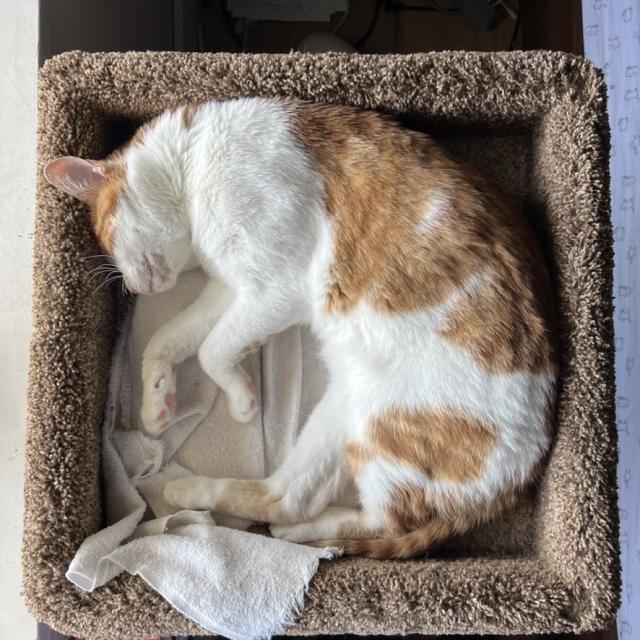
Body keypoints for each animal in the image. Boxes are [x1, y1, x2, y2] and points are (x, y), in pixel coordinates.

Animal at [43, 97, 556, 556]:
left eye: (106, 241)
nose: (132, 285)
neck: (195, 166)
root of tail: (523, 471)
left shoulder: (276, 289)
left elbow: (211, 350)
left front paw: (242, 399)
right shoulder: (230, 290)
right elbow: (168, 338)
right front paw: (157, 402)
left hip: (379, 426)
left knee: (385, 521)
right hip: (341, 412)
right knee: (289, 499)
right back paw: (230, 509)